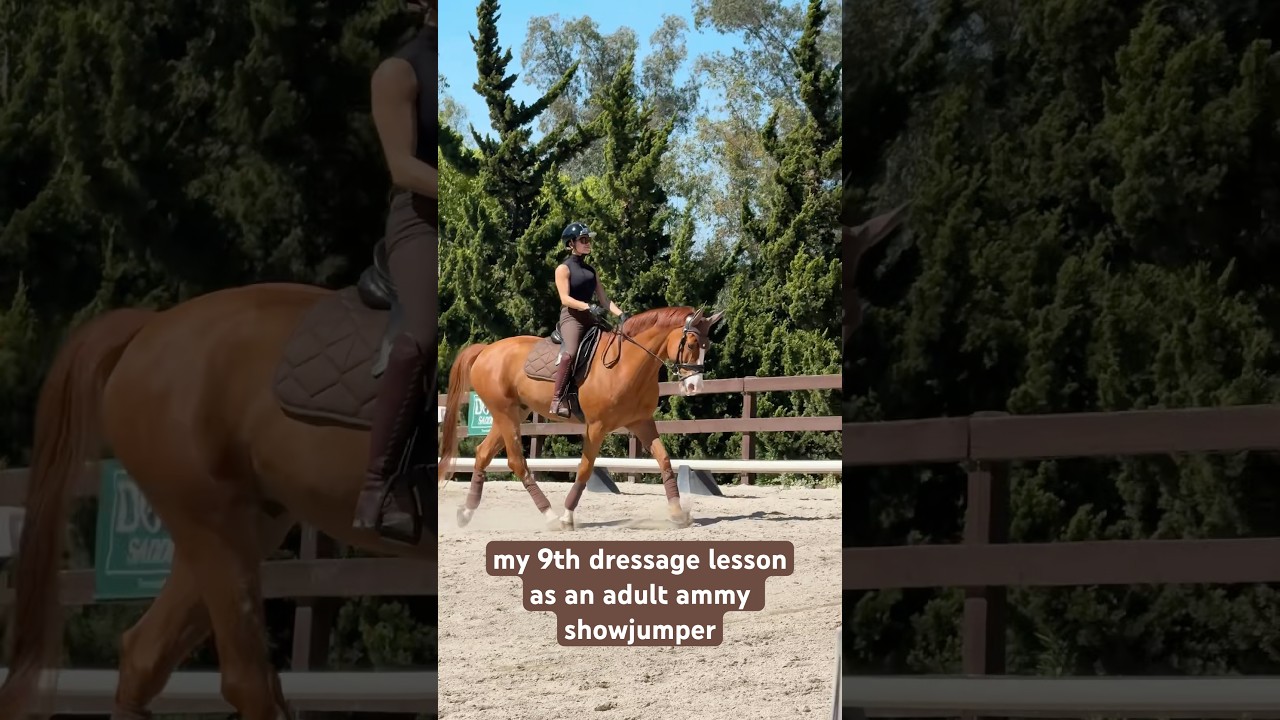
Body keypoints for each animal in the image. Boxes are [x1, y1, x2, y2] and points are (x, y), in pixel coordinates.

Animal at [437, 306, 725, 531]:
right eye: (691, 344)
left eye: (707, 346)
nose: (694, 387)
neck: (626, 365)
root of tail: (486, 350)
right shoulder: (596, 427)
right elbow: (585, 469)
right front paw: (567, 516)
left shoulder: (641, 422)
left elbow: (664, 460)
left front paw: (677, 513)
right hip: (506, 415)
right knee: (517, 462)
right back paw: (551, 516)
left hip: (512, 414)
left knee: (483, 453)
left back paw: (466, 512)